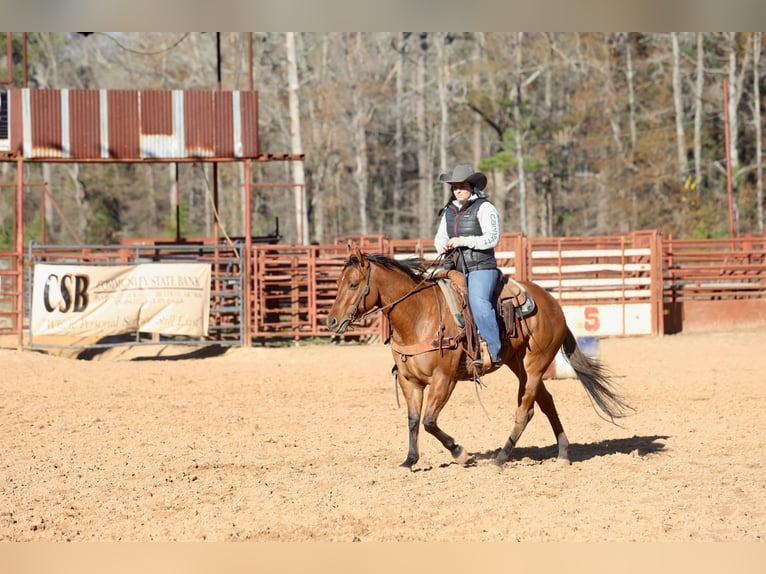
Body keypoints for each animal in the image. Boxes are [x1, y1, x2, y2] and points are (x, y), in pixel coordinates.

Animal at [328, 243, 632, 472]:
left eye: (353, 284)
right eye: (338, 283)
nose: (331, 321)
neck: (418, 316)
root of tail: (553, 303)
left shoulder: (444, 379)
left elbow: (429, 421)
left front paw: (461, 453)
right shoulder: (408, 380)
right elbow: (413, 420)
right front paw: (410, 461)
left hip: (536, 364)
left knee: (526, 410)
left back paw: (501, 458)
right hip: (518, 363)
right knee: (546, 402)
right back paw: (563, 453)